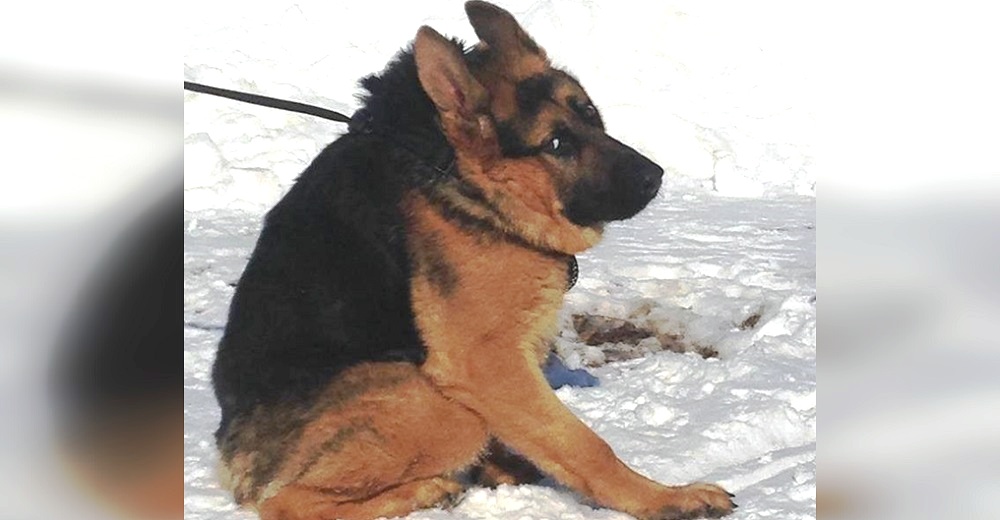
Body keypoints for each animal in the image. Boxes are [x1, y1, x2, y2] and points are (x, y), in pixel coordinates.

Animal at [211, 2, 740, 516]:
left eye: (590, 113)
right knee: (286, 503)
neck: (454, 168)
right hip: (435, 404)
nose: (655, 176)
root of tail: (231, 452)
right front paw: (663, 498)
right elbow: (585, 445)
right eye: (556, 144)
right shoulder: (483, 361)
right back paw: (424, 490)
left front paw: (511, 466)